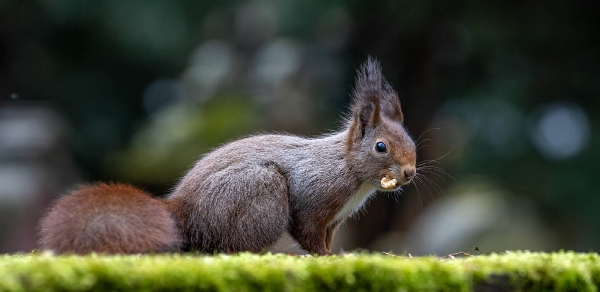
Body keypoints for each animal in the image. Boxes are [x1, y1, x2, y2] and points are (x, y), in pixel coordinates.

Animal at [38, 57, 418, 256]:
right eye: (381, 147)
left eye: (412, 141)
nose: (410, 172)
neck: (349, 170)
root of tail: (185, 211)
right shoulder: (314, 197)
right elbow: (308, 232)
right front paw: (325, 258)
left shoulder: (334, 220)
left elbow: (326, 236)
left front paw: (334, 253)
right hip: (259, 193)